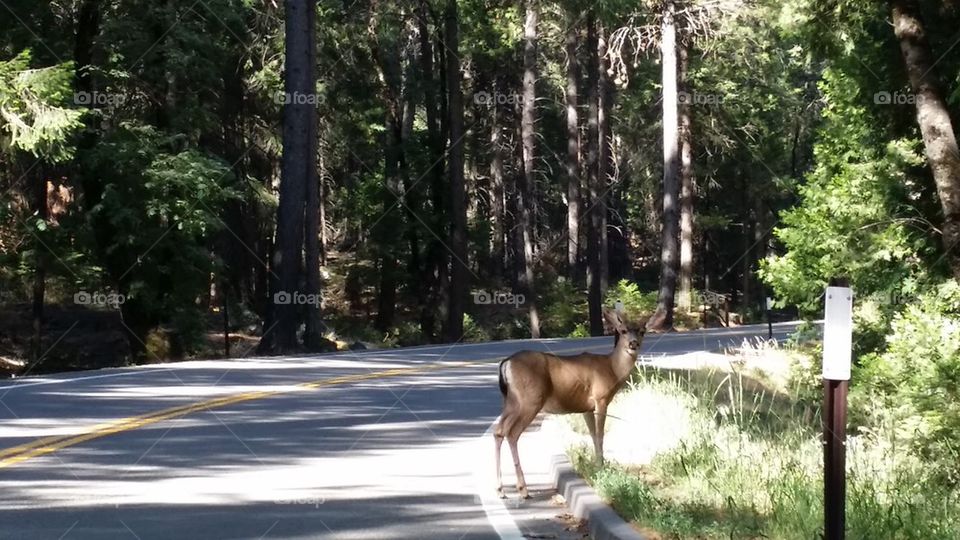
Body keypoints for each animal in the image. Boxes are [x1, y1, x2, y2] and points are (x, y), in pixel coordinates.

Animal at [493, 309, 645, 498]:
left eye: (642, 331)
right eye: (623, 331)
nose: (633, 344)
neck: (612, 368)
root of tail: (506, 363)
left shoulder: (587, 408)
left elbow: (592, 435)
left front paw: (596, 467)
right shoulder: (600, 399)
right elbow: (601, 434)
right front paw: (602, 466)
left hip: (510, 401)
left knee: (499, 431)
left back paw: (500, 489)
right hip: (530, 400)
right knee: (512, 433)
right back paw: (523, 489)